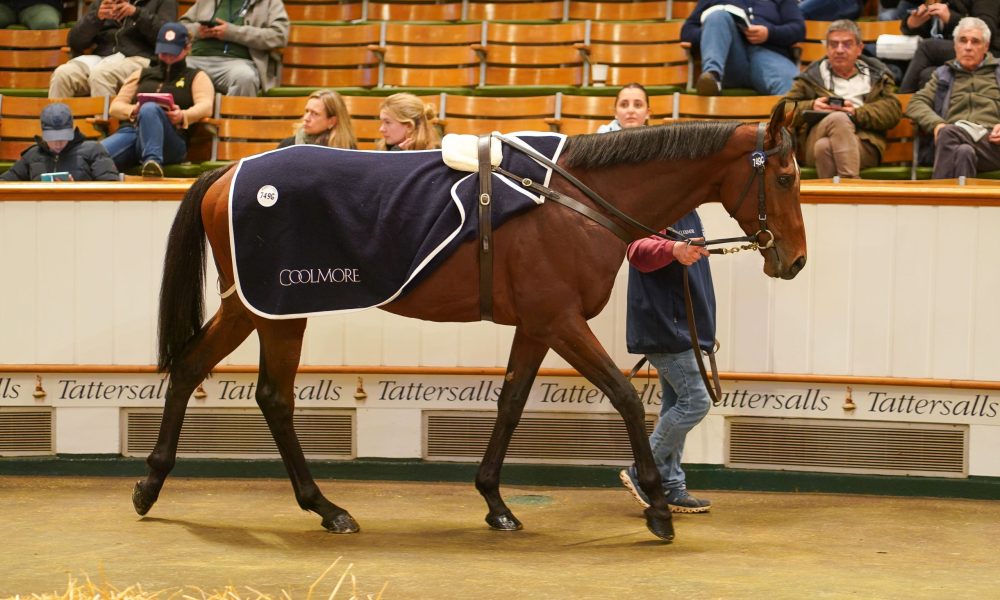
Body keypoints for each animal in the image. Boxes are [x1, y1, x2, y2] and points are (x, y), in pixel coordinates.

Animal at [132, 102, 806, 543]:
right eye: (784, 177)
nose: (794, 260)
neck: (574, 201)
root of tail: (228, 171)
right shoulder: (561, 321)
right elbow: (623, 395)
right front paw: (658, 509)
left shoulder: (536, 325)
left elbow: (510, 403)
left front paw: (495, 502)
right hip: (274, 308)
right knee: (267, 394)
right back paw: (319, 506)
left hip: (256, 308)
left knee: (199, 370)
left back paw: (160, 486)